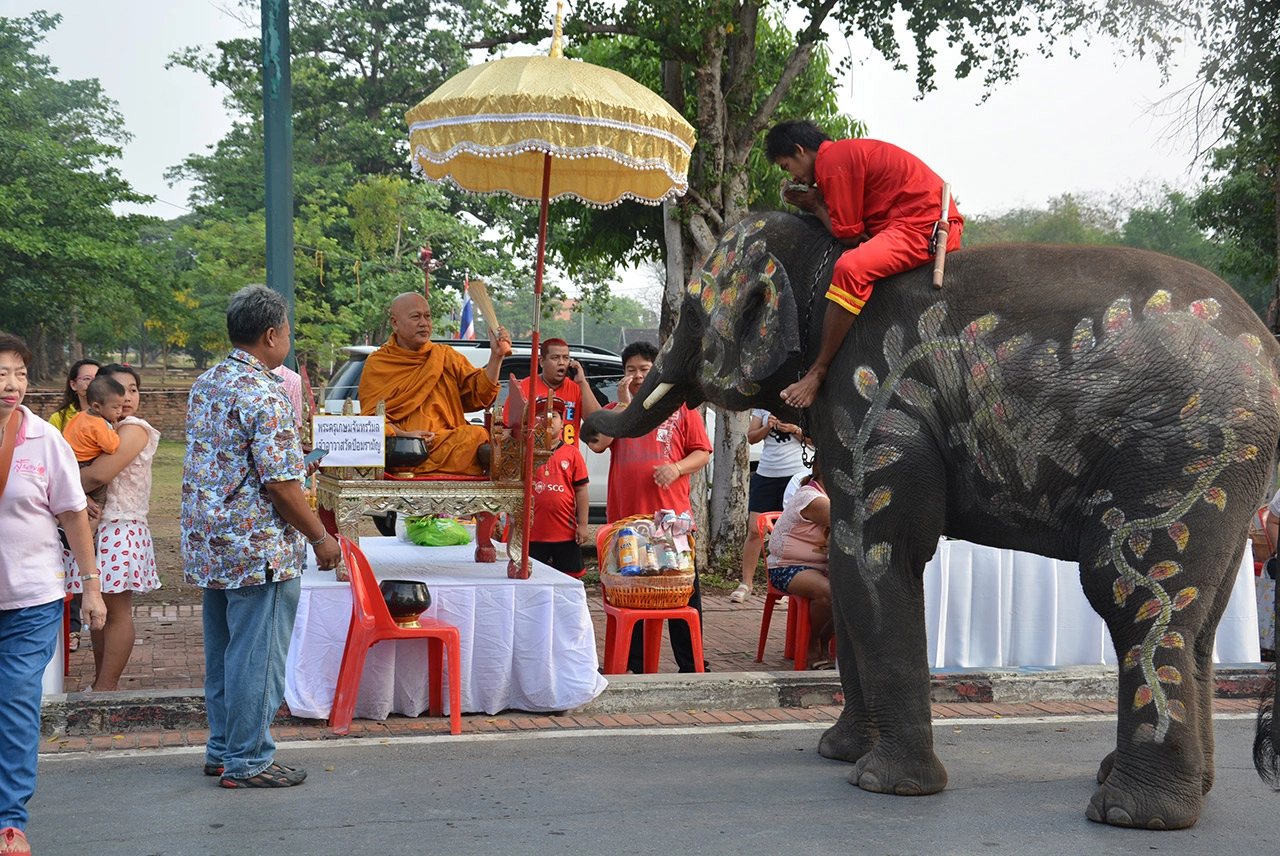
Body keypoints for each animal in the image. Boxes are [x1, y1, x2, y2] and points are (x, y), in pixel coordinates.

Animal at [583, 212, 1280, 829]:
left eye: (691, 315)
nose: (590, 422)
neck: (827, 258)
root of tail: (1265, 347)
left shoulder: (877, 404)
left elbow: (878, 554)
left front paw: (883, 784)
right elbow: (846, 566)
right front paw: (839, 754)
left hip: (1180, 461)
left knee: (1135, 594)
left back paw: (1130, 813)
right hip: (1226, 486)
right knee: (1200, 617)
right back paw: (1169, 788)